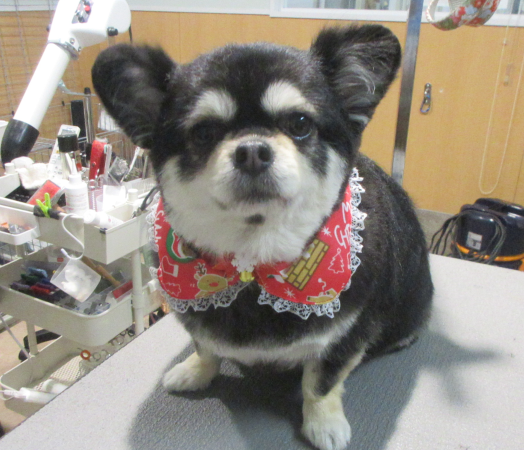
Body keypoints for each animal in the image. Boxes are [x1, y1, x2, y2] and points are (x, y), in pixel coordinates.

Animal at [92, 24, 433, 450]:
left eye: (300, 123)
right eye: (204, 133)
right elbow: (206, 348)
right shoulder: (196, 316)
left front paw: (323, 423)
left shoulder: (349, 334)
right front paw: (195, 371)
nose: (252, 150)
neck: (252, 262)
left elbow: (321, 383)